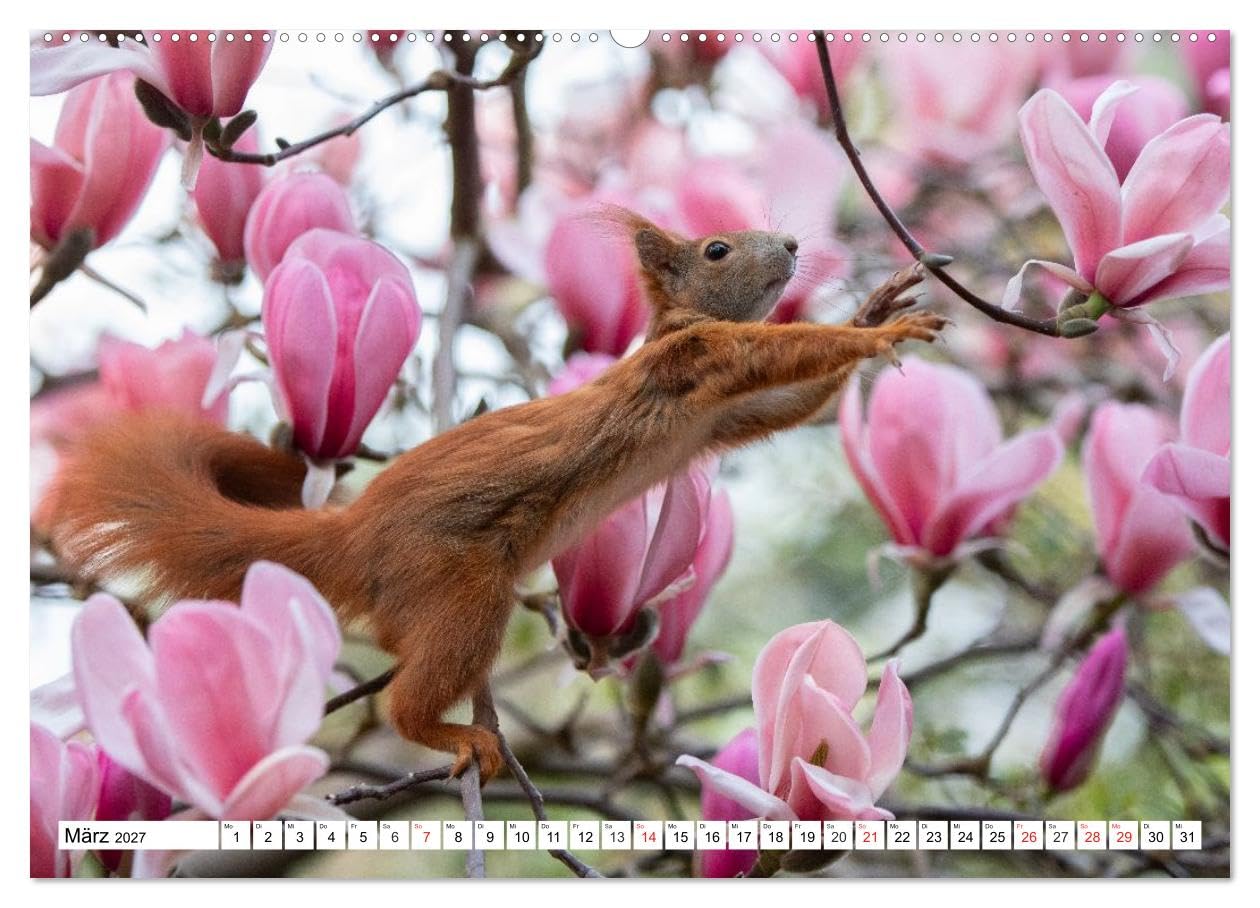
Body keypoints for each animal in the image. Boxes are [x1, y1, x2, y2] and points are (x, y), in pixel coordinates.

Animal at [41, 209, 946, 781]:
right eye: (718, 249)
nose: (792, 242)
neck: (673, 332)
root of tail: (350, 534)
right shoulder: (693, 363)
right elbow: (781, 352)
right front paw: (882, 330)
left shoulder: (725, 413)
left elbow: (796, 402)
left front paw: (875, 310)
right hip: (464, 584)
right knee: (410, 695)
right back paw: (448, 733)